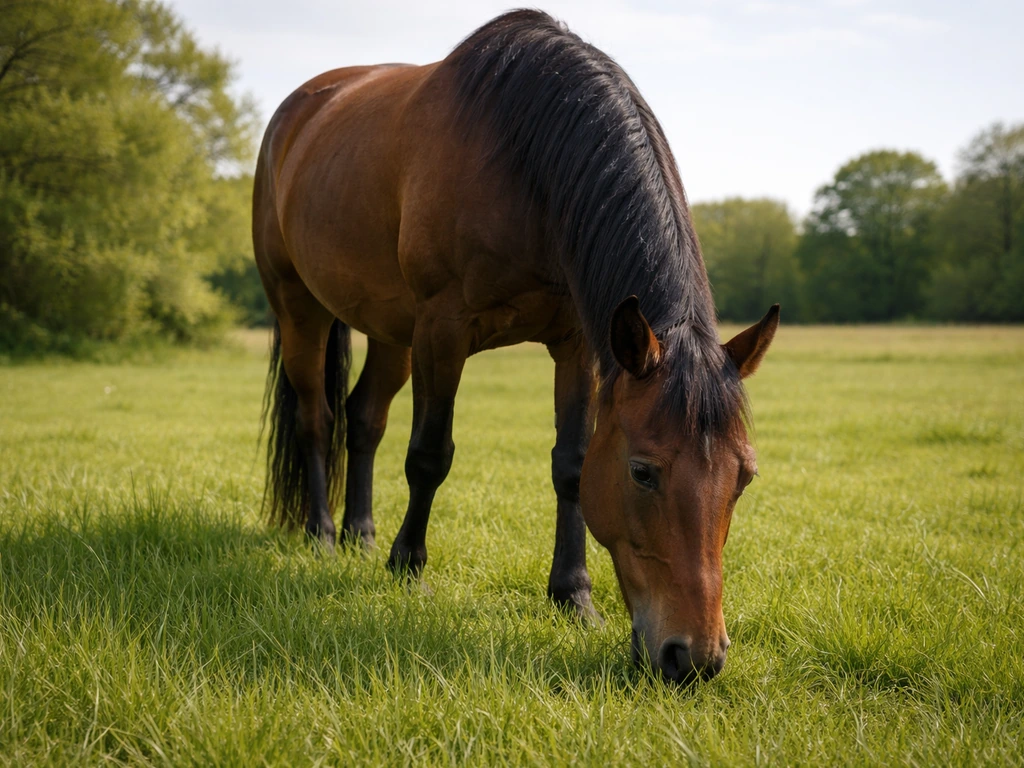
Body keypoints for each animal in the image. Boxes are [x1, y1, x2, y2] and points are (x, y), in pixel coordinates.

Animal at [252, 9, 779, 684]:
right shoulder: (443, 328)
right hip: (302, 308)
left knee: (363, 418)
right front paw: (408, 566)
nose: (694, 659)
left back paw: (360, 535)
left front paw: (573, 594)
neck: (524, 165)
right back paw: (322, 534)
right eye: (642, 472)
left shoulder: (578, 343)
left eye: (744, 476)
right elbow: (430, 454)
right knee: (317, 419)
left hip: (391, 330)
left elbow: (571, 466)